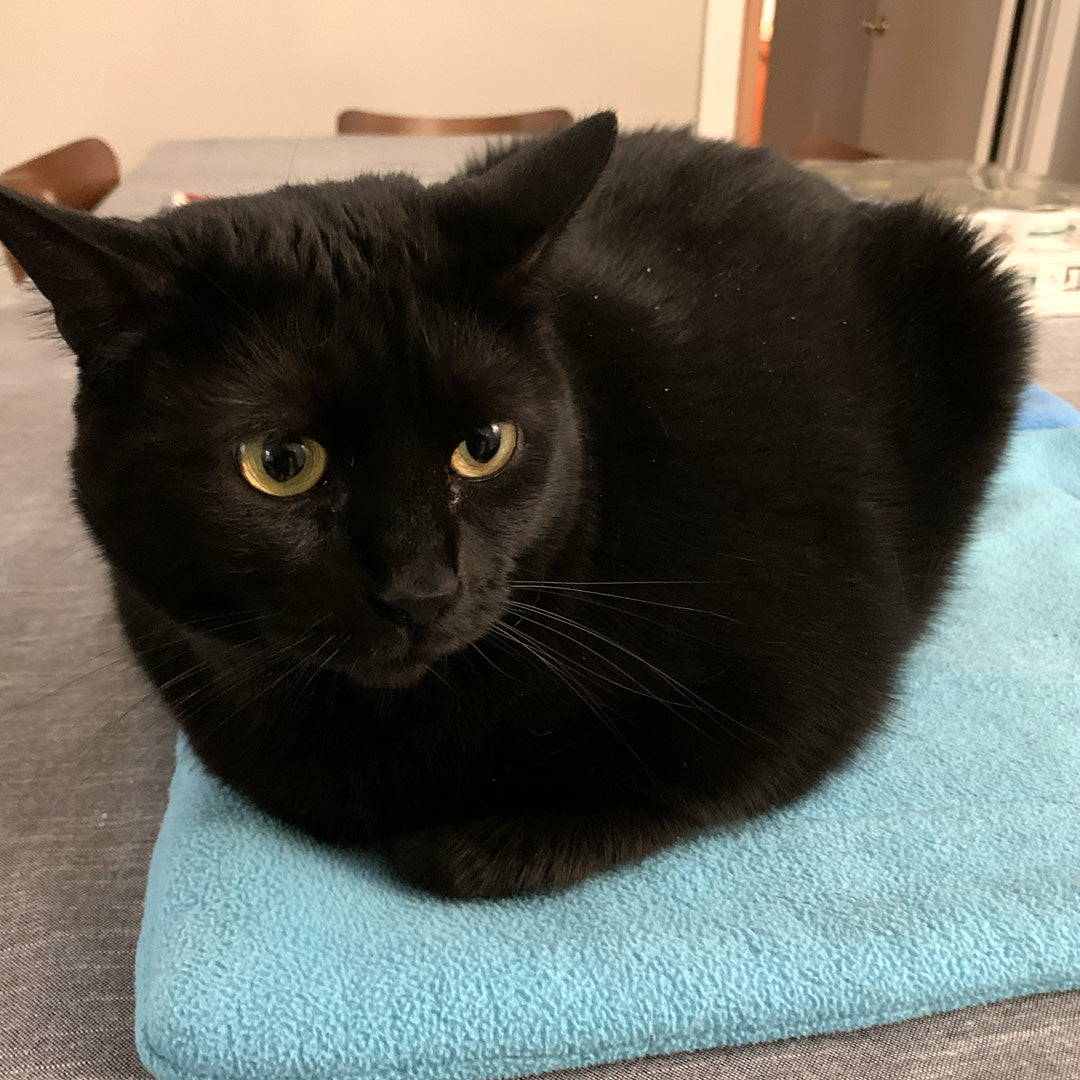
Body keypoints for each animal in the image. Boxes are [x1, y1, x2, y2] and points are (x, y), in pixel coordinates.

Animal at [0, 113, 1028, 898]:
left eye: (486, 445)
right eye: (280, 463)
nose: (419, 589)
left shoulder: (809, 673)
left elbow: (679, 775)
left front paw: (479, 843)